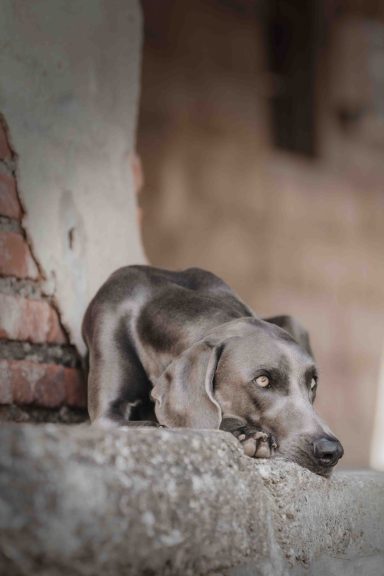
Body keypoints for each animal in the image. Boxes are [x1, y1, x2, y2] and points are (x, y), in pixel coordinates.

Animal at [82, 266, 344, 476]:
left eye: (313, 383)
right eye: (262, 380)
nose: (331, 451)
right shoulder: (107, 416)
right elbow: (161, 425)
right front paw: (249, 434)